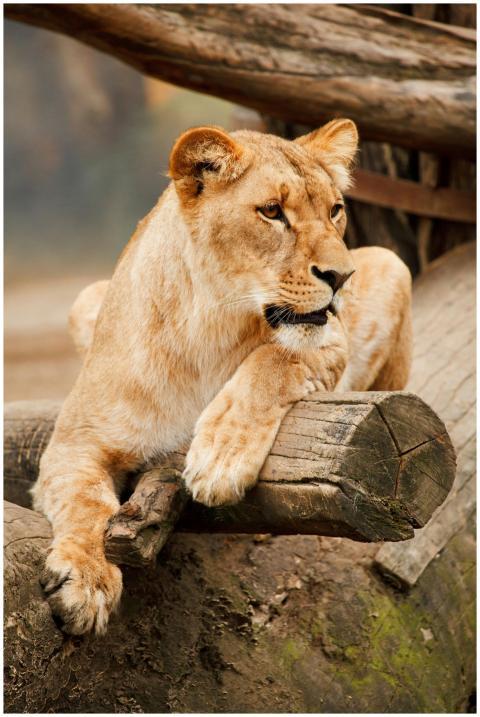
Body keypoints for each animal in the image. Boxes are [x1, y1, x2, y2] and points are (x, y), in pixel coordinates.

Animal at [33, 119, 412, 635]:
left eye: (335, 211)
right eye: (272, 211)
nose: (342, 277)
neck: (208, 328)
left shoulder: (331, 341)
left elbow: (273, 361)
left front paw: (220, 459)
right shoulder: (75, 440)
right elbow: (84, 500)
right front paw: (86, 581)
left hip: (393, 264)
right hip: (85, 298)